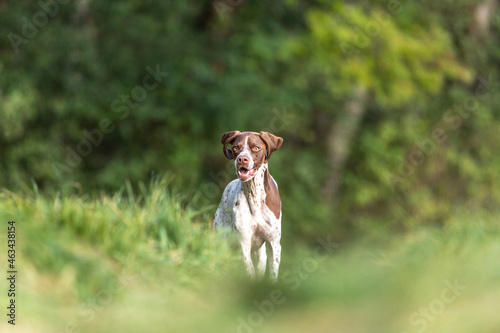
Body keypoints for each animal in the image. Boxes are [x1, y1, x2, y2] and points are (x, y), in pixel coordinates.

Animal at [213, 130, 284, 280]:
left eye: (256, 148)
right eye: (236, 147)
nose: (242, 159)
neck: (254, 195)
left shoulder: (274, 244)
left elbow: (272, 274)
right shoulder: (243, 243)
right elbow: (248, 271)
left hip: (261, 256)